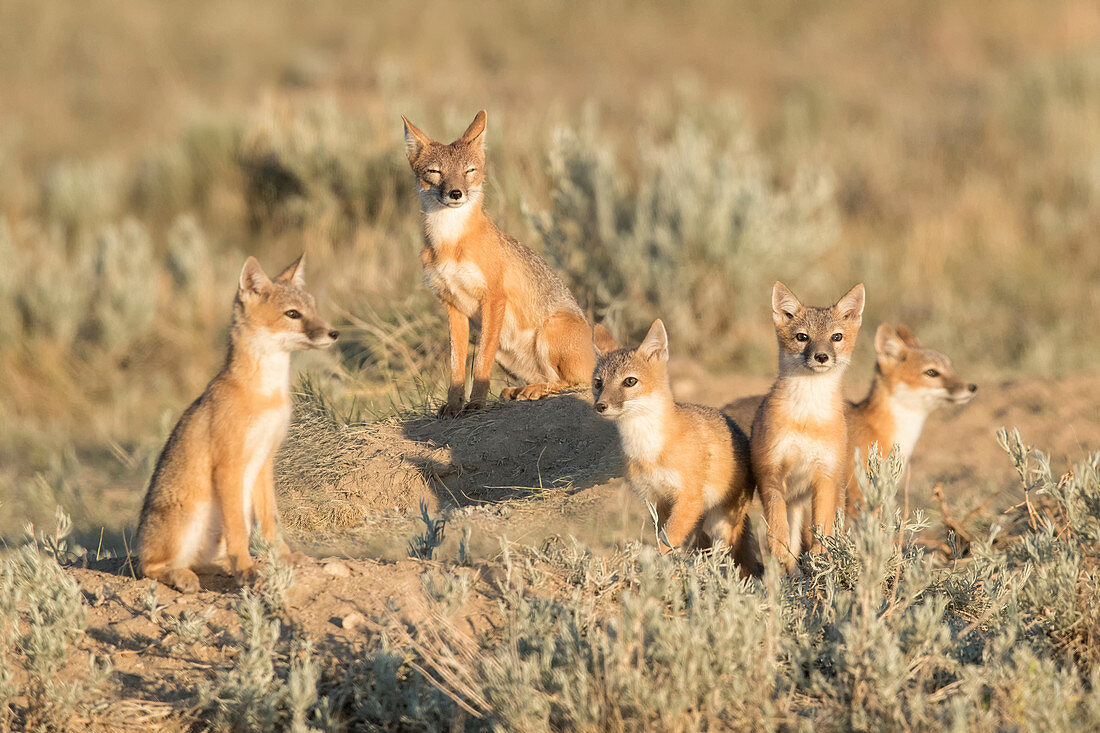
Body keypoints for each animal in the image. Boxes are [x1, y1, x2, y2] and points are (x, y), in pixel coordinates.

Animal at [135, 254, 336, 589]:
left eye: (314, 308)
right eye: (292, 314)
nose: (334, 333)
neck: (266, 393)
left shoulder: (265, 461)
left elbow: (270, 522)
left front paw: (281, 558)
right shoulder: (229, 465)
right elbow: (240, 530)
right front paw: (246, 568)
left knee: (202, 560)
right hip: (188, 521)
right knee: (150, 567)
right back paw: (182, 575)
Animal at [404, 108, 616, 416]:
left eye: (469, 171)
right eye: (435, 172)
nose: (455, 193)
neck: (449, 243)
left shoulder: (494, 299)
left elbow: (480, 363)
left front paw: (476, 404)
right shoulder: (453, 307)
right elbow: (456, 366)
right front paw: (453, 406)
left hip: (548, 332)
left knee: (570, 382)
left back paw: (535, 390)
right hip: (506, 355)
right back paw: (518, 391)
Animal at [598, 319, 761, 576]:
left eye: (629, 381)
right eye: (598, 383)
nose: (600, 405)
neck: (648, 451)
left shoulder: (687, 498)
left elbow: (668, 539)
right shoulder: (656, 500)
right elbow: (664, 537)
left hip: (721, 521)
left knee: (724, 554)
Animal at [752, 280, 862, 572]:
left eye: (836, 337)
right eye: (802, 337)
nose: (821, 356)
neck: (806, 418)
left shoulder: (825, 473)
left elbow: (822, 524)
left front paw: (821, 555)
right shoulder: (770, 469)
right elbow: (776, 521)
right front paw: (778, 550)